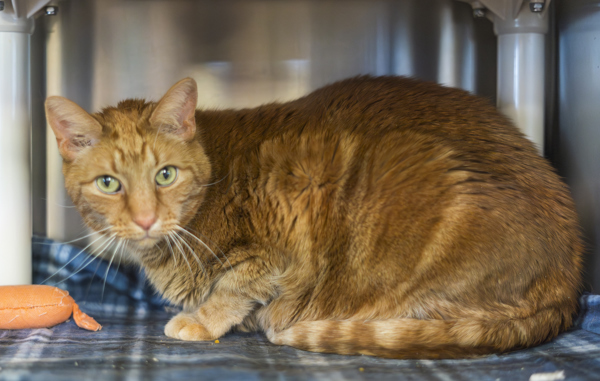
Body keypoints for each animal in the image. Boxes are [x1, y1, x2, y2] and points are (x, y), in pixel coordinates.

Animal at [45, 75, 580, 358]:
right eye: (109, 184)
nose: (144, 220)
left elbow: (232, 289)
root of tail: (570, 282)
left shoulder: (275, 244)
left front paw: (202, 320)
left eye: (165, 175)